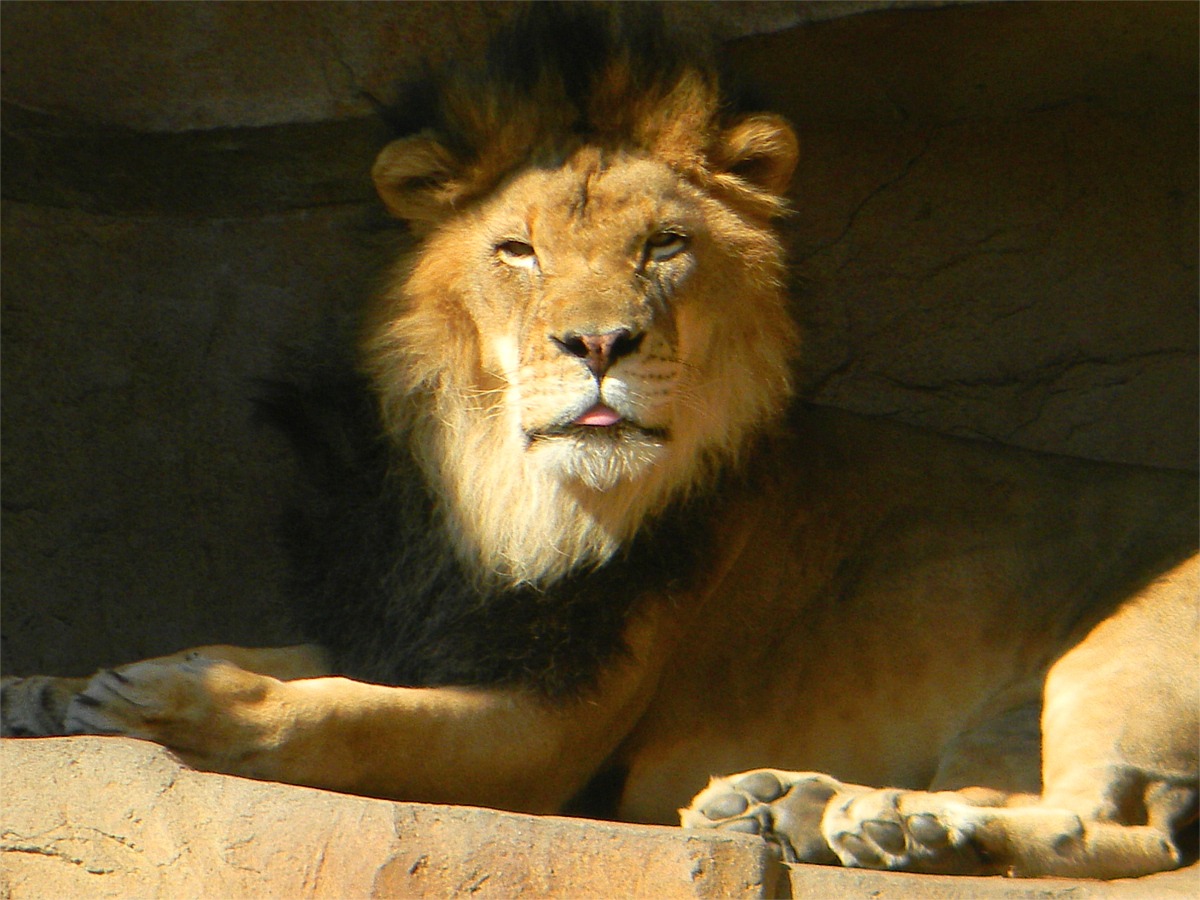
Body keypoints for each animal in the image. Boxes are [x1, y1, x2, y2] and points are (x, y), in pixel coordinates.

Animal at [2, 5, 1196, 882]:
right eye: (518, 250)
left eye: (664, 246)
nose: (598, 343)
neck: (509, 496)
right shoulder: (425, 631)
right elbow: (271, 650)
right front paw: (49, 686)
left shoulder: (551, 733)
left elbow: (345, 717)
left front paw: (169, 703)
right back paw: (804, 808)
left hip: (1114, 654)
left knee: (1126, 826)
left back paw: (900, 825)